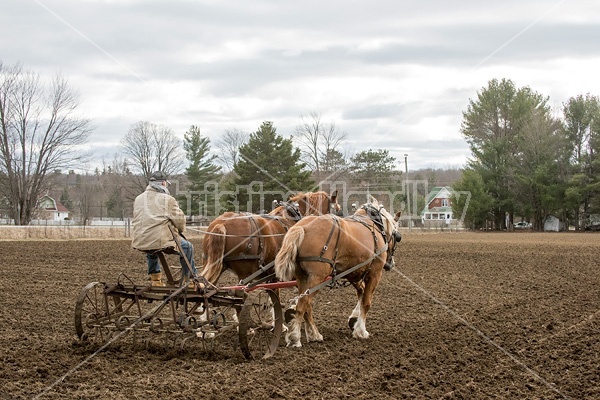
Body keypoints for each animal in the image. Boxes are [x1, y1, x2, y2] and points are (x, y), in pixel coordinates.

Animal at [274, 197, 400, 346]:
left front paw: (354, 320)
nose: (391, 264)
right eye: (398, 237)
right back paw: (295, 337)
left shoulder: (354, 272)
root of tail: (301, 227)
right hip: (318, 277)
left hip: (302, 277)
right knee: (303, 303)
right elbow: (366, 302)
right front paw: (361, 331)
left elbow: (361, 292)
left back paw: (314, 334)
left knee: (307, 305)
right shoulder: (374, 274)